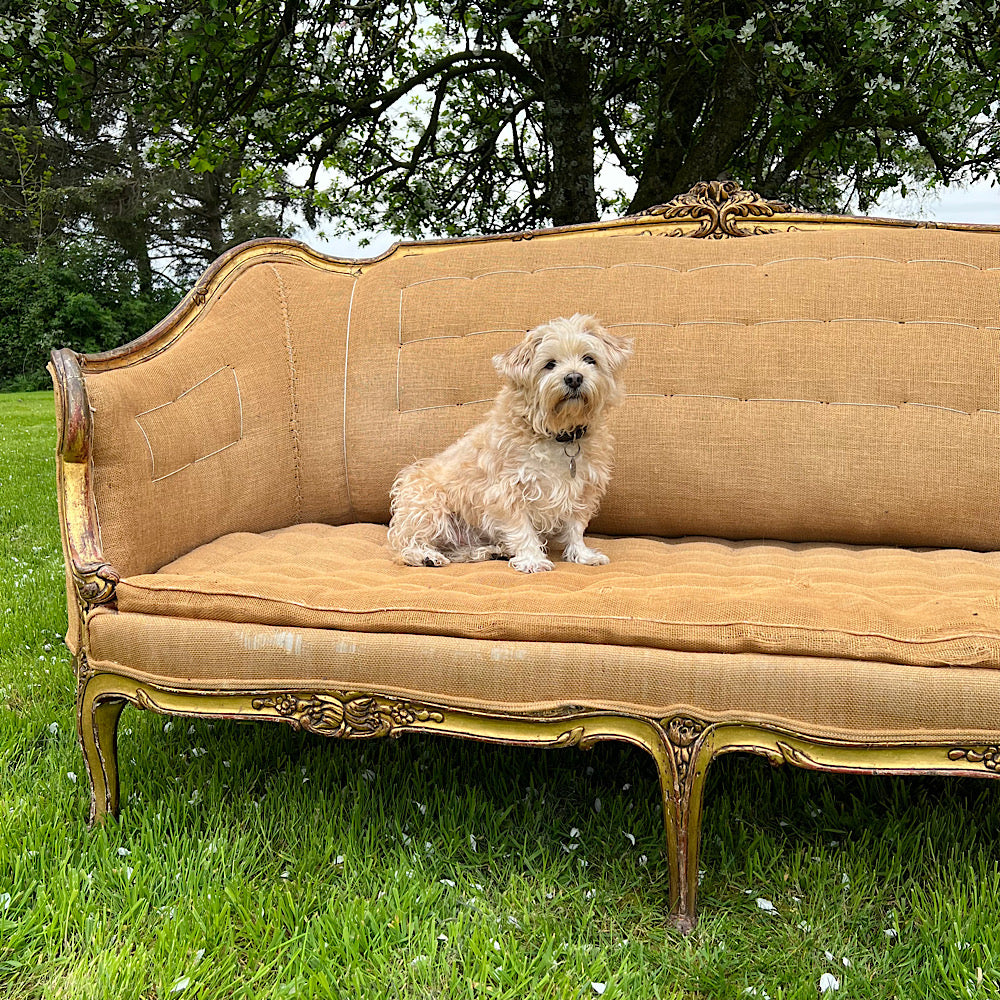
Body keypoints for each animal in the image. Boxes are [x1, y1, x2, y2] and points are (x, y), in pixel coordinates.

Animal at [386, 316, 628, 576]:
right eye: (550, 364)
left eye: (589, 359)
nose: (574, 377)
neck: (558, 433)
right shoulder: (506, 491)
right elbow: (522, 528)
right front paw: (532, 559)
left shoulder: (583, 489)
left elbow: (575, 528)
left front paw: (583, 555)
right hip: (429, 505)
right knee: (405, 545)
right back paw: (426, 556)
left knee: (455, 550)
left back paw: (490, 551)